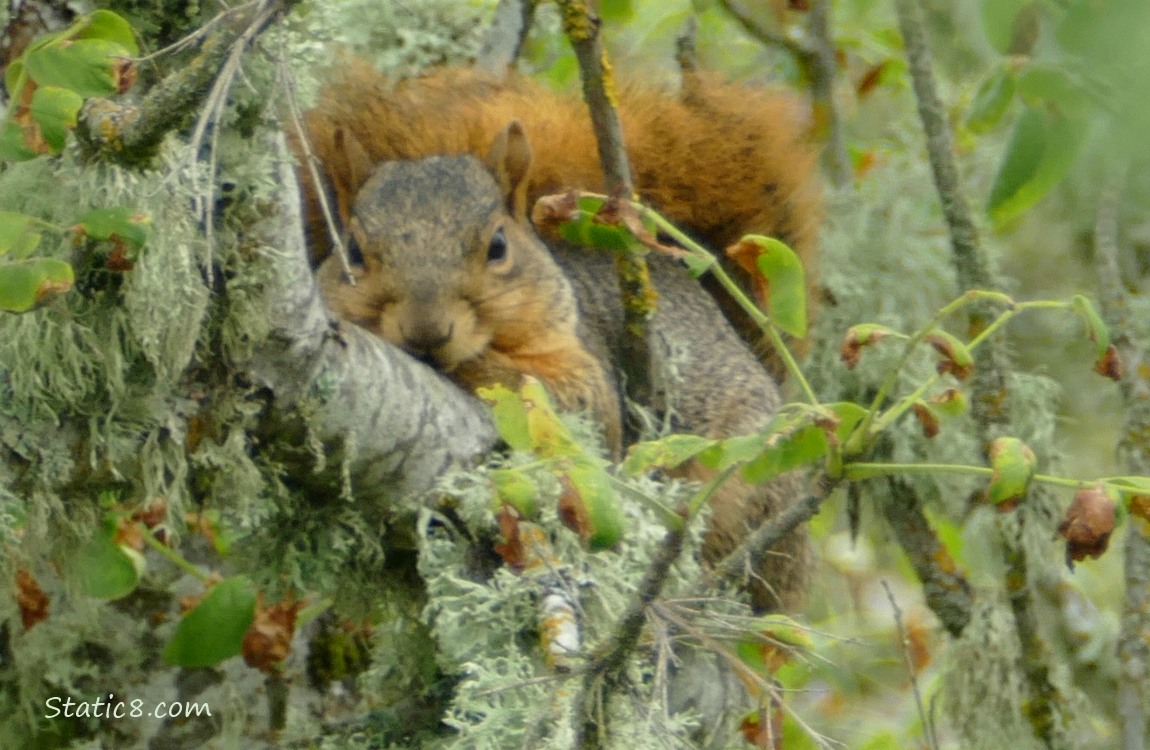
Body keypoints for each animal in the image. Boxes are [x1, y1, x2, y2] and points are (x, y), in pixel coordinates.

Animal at [298, 64, 819, 612]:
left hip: (749, 476)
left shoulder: (589, 374)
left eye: (498, 246)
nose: (426, 331)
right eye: (353, 253)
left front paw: (471, 365)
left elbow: (568, 400)